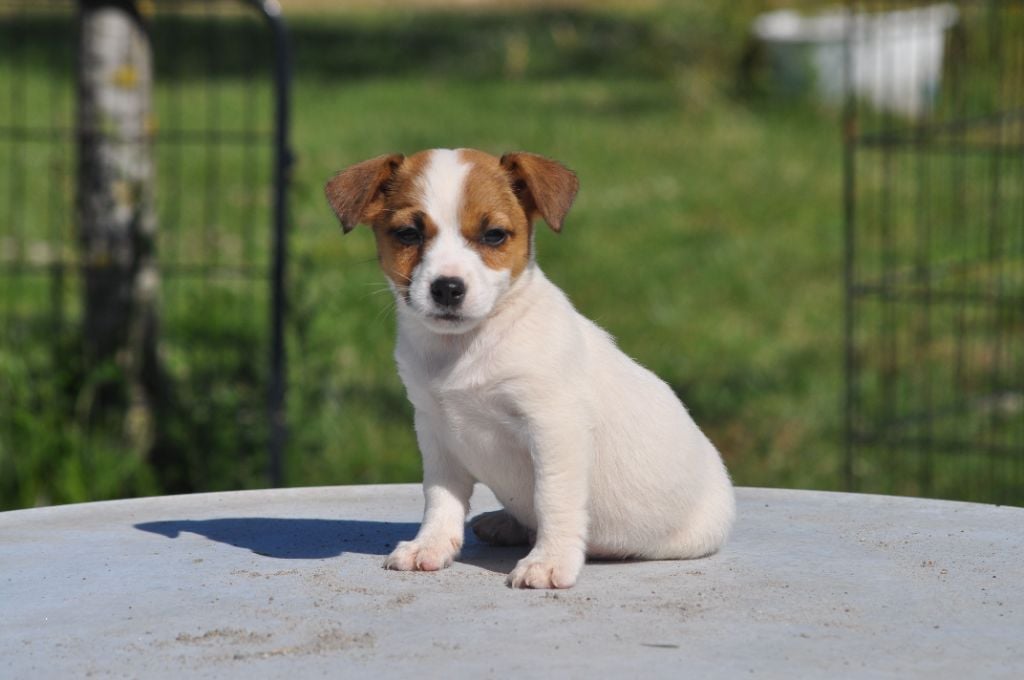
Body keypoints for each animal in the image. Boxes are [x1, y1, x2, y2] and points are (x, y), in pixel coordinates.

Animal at [323, 148, 733, 589]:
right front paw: (430, 546)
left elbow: (552, 499)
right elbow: (440, 497)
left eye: (494, 235)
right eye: (408, 234)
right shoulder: (435, 432)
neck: (466, 347)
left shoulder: (553, 429)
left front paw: (549, 561)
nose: (447, 288)